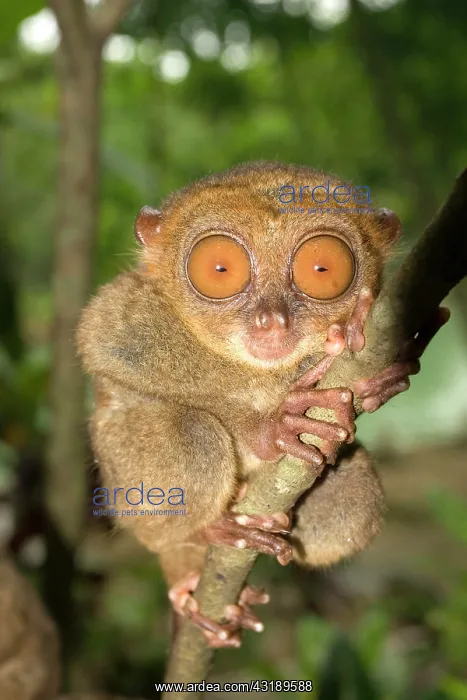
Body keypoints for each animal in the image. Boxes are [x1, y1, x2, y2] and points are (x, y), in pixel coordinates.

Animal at [77, 161, 447, 647]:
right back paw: (206, 537)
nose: (271, 320)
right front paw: (273, 428)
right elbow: (106, 345)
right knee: (194, 435)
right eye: (219, 268)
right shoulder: (127, 310)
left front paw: (385, 370)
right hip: (124, 480)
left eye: (323, 268)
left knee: (356, 495)